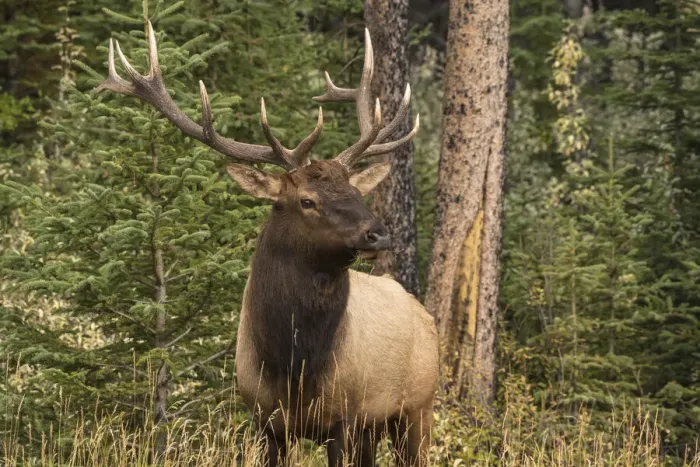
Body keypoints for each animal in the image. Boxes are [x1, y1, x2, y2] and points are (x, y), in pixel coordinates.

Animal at [97, 22, 439, 467]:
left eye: (356, 193)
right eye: (307, 201)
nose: (378, 233)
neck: (293, 367)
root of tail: (422, 312)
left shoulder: (345, 417)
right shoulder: (263, 419)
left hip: (417, 406)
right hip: (378, 425)